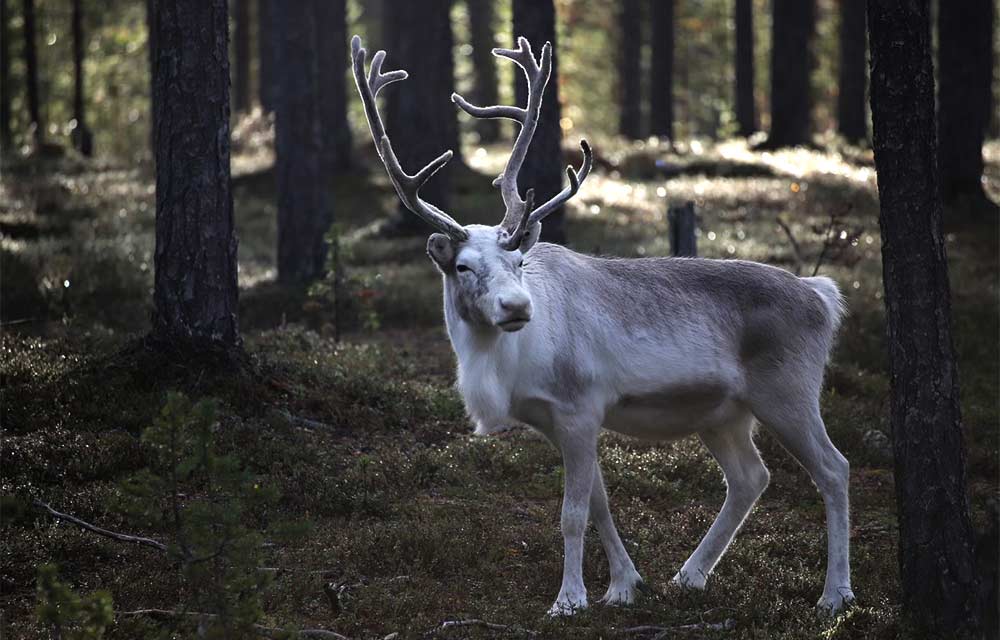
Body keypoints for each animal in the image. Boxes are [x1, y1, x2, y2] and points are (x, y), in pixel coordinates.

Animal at [350, 34, 855, 617]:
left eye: (519, 261)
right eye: (462, 266)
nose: (517, 307)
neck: (506, 368)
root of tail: (823, 296)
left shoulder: (580, 407)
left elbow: (572, 514)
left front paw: (570, 599)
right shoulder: (555, 420)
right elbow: (599, 505)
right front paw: (624, 585)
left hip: (788, 390)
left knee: (834, 468)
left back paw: (835, 594)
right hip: (722, 412)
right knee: (752, 477)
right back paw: (689, 576)